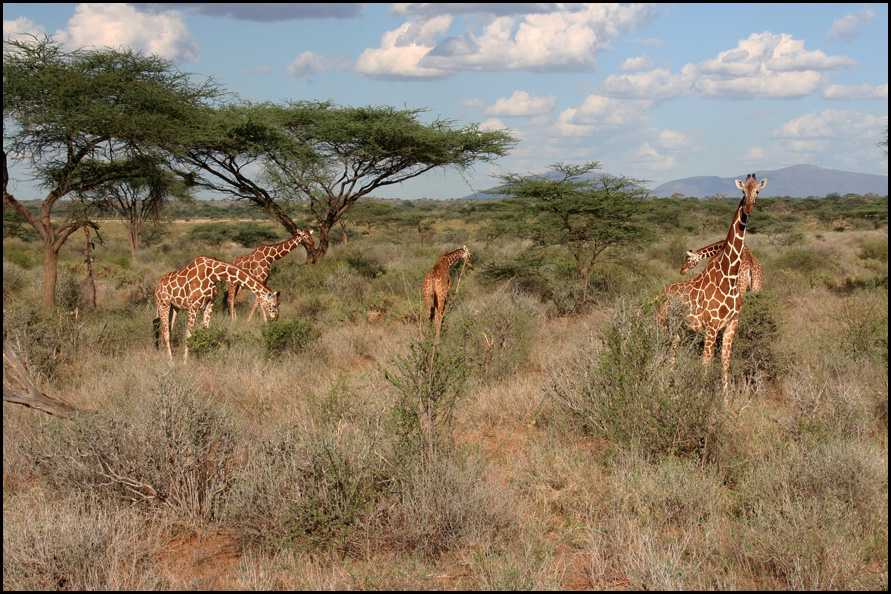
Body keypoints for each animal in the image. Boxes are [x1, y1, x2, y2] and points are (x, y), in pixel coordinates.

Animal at [657, 174, 766, 388]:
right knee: (660, 351)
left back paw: (670, 382)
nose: (749, 206)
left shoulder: (731, 325)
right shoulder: (711, 327)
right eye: (743, 191)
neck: (729, 276)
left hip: (677, 329)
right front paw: (702, 393)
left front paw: (725, 396)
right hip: (663, 323)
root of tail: (660, 295)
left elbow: (725, 362)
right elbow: (706, 363)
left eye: (757, 191)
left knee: (672, 351)